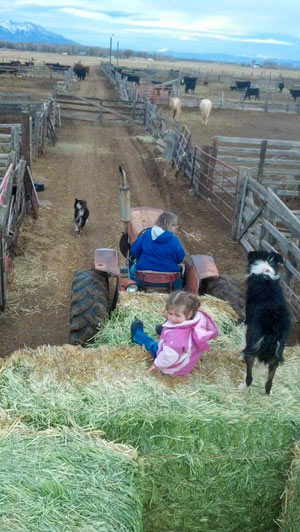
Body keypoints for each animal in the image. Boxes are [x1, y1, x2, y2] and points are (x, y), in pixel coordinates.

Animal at [239, 250, 290, 394]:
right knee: (269, 382)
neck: (265, 272)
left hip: (254, 346)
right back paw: (267, 393)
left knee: (249, 376)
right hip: (277, 353)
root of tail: (273, 328)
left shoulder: (248, 321)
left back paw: (242, 387)